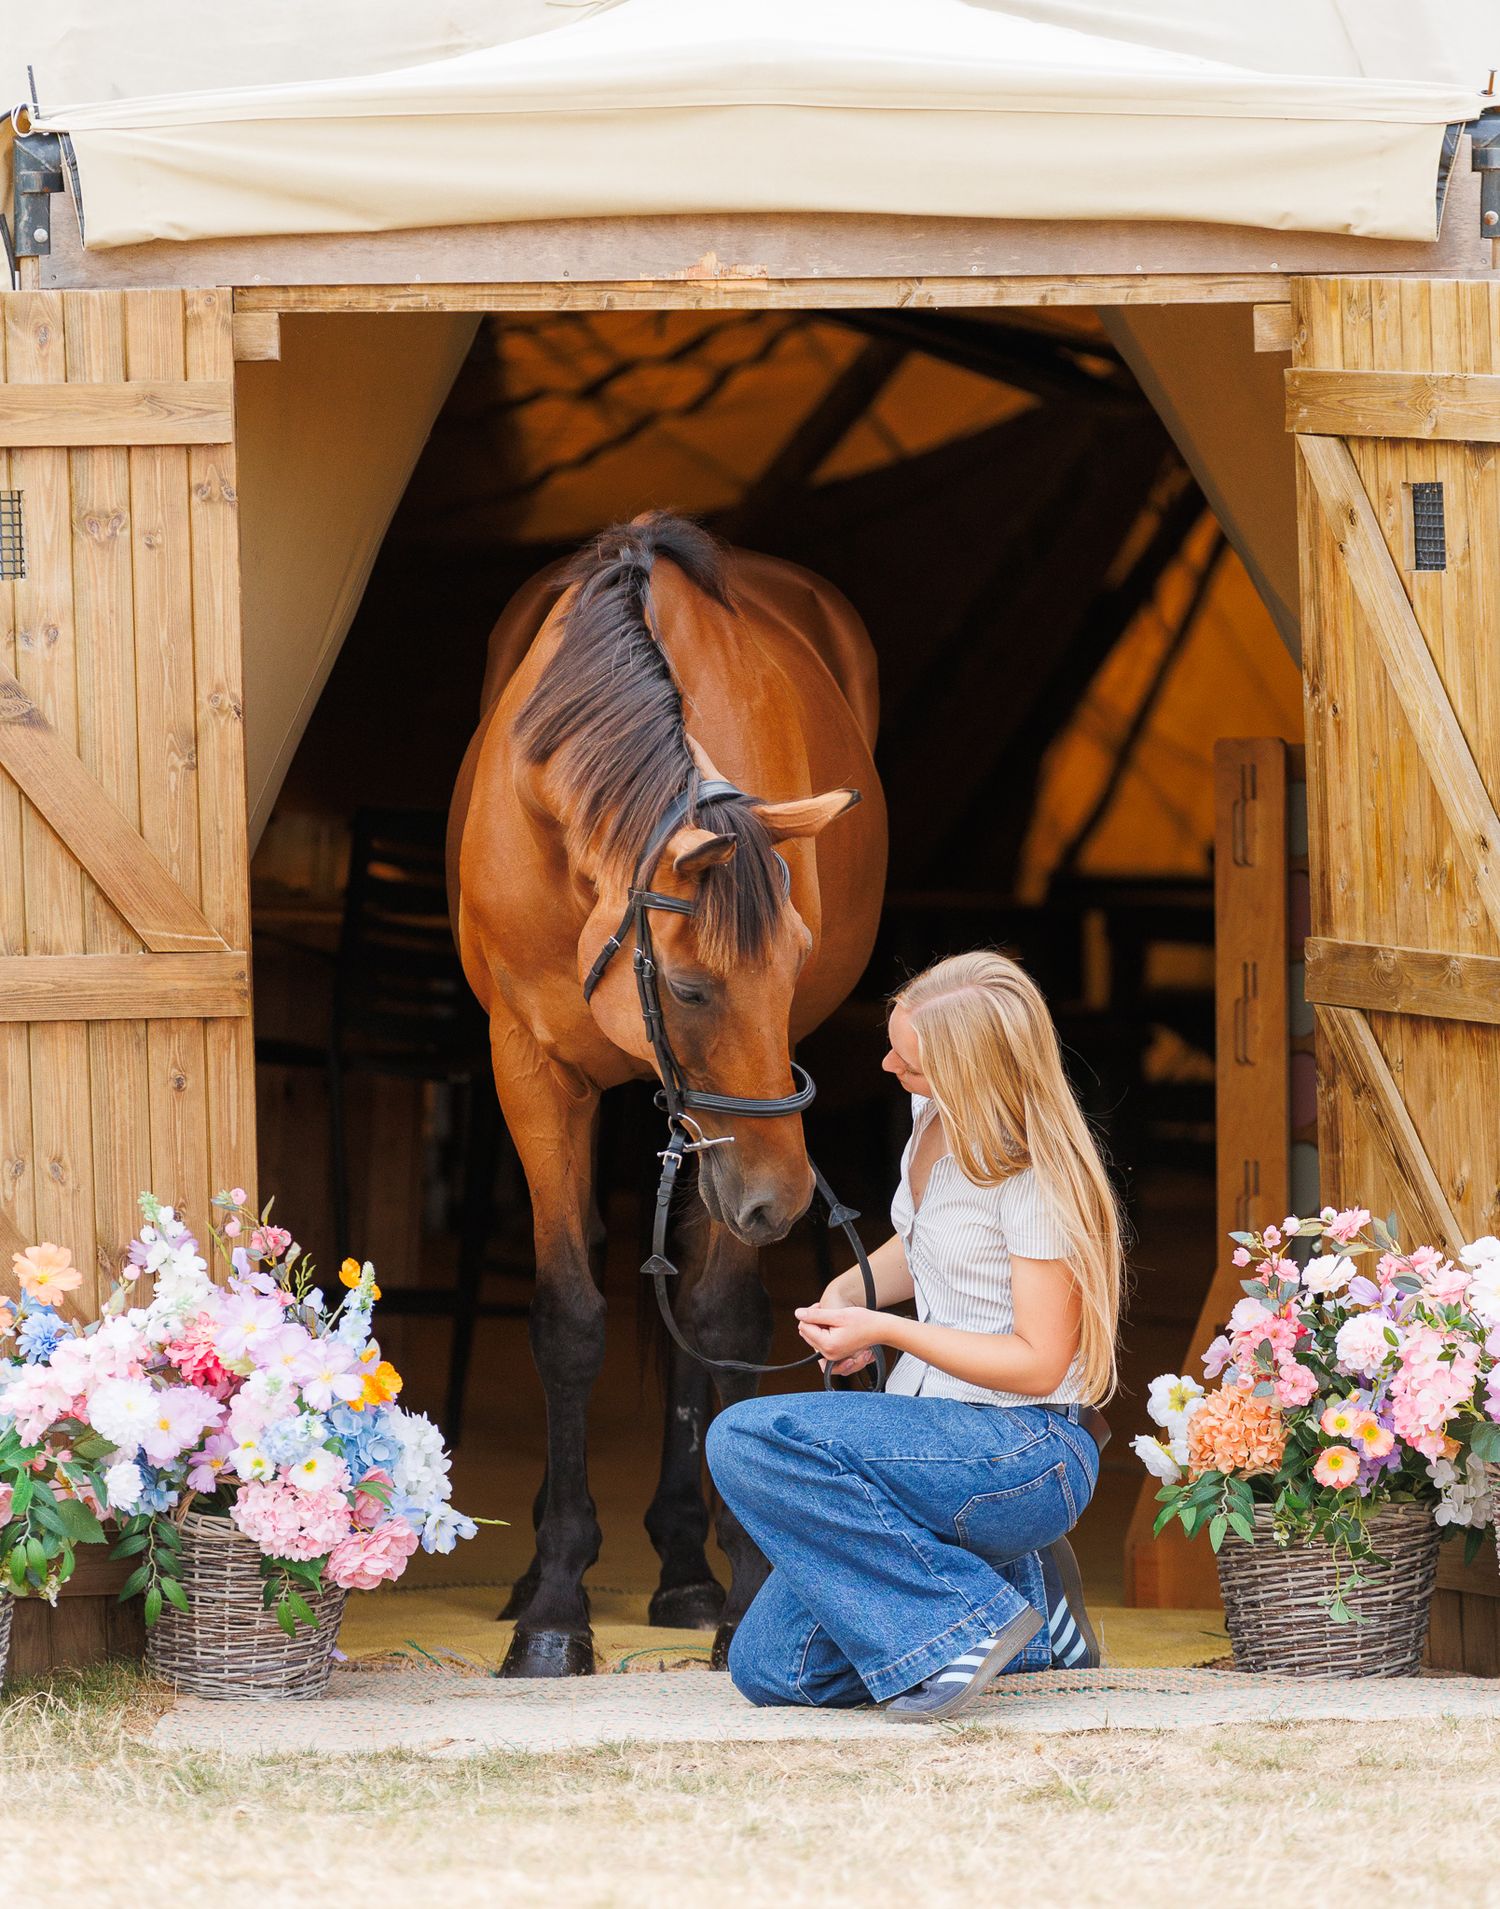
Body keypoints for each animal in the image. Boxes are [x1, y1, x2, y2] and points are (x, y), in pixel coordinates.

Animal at [448, 512, 887, 1676]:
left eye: (797, 968)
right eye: (691, 988)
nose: (785, 1202)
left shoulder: (742, 1136)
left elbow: (720, 1316)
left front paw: (742, 1597)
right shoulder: (531, 1068)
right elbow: (568, 1318)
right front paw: (557, 1606)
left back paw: (690, 1563)